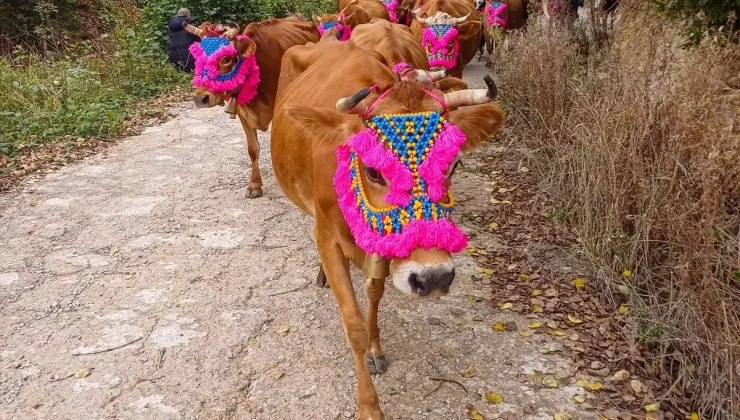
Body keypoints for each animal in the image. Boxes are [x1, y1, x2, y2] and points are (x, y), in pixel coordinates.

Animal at [184, 18, 318, 199]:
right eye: (198, 59)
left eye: (226, 59)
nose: (200, 98)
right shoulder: (243, 112)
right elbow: (253, 149)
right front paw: (254, 185)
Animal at [272, 37, 508, 418]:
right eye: (373, 170)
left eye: (452, 165)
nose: (433, 278)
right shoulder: (328, 237)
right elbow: (353, 325)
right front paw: (368, 406)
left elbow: (374, 294)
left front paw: (375, 347)